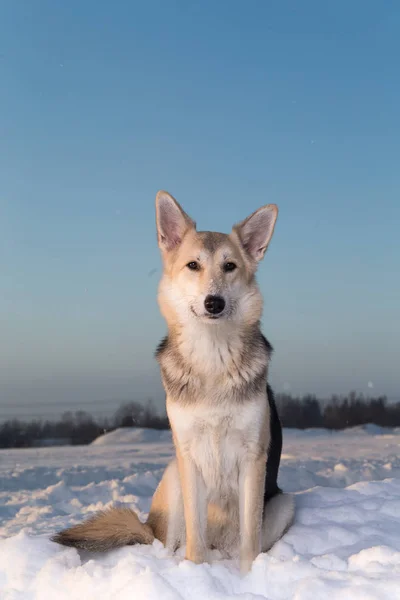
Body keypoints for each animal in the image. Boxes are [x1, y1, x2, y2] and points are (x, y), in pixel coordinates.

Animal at [54, 191, 294, 572]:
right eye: (193, 265)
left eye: (230, 266)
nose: (214, 302)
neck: (212, 357)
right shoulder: (189, 458)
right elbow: (194, 537)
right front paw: (196, 574)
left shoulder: (253, 459)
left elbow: (249, 542)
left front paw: (247, 578)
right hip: (173, 475)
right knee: (169, 542)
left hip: (285, 504)